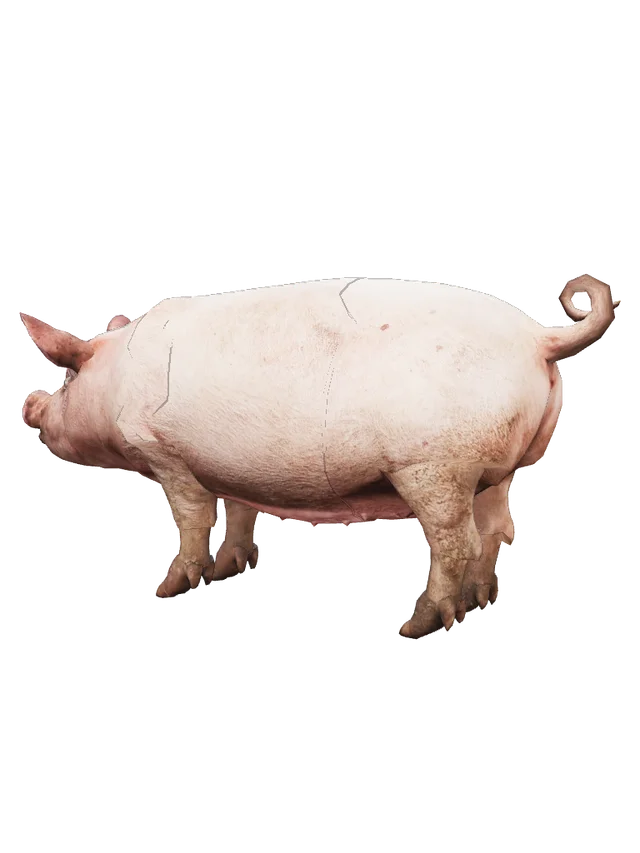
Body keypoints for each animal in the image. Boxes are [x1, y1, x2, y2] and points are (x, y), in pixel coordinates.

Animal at [19, 275, 622, 635]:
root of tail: (539, 338)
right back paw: (478, 606)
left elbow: (191, 521)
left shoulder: (165, 452)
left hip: (435, 467)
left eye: (66, 375)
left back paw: (415, 625)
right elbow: (239, 514)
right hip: (494, 471)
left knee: (456, 543)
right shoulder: (226, 467)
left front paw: (166, 590)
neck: (115, 377)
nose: (28, 405)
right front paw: (229, 571)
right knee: (499, 530)